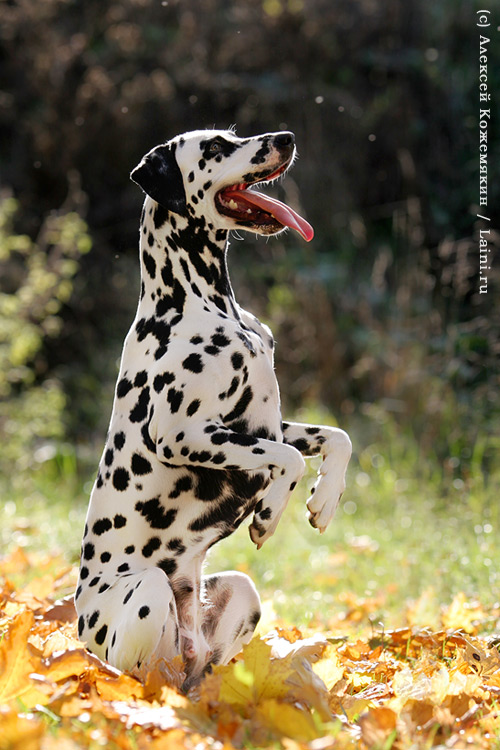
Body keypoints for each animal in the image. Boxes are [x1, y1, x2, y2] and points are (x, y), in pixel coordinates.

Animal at [76, 128, 354, 688]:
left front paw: (325, 499)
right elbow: (287, 460)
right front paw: (270, 513)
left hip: (241, 593)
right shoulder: (184, 435)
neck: (199, 303)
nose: (286, 137)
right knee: (140, 677)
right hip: (148, 593)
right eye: (215, 148)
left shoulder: (264, 424)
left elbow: (336, 438)